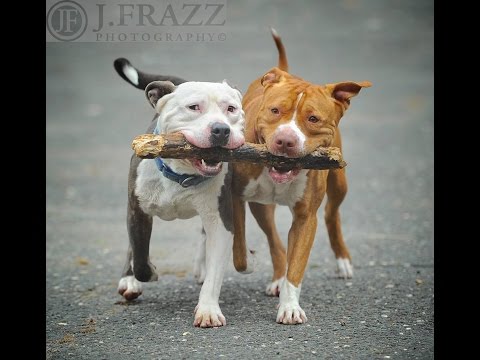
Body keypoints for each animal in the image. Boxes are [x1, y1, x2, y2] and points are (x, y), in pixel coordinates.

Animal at [232, 29, 372, 324]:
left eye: (313, 119)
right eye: (274, 110)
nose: (285, 140)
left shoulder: (305, 218)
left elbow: (296, 266)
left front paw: (290, 307)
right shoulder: (236, 197)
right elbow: (239, 248)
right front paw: (249, 260)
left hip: (339, 182)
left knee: (331, 213)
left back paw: (342, 260)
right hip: (260, 206)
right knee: (274, 239)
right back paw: (276, 277)